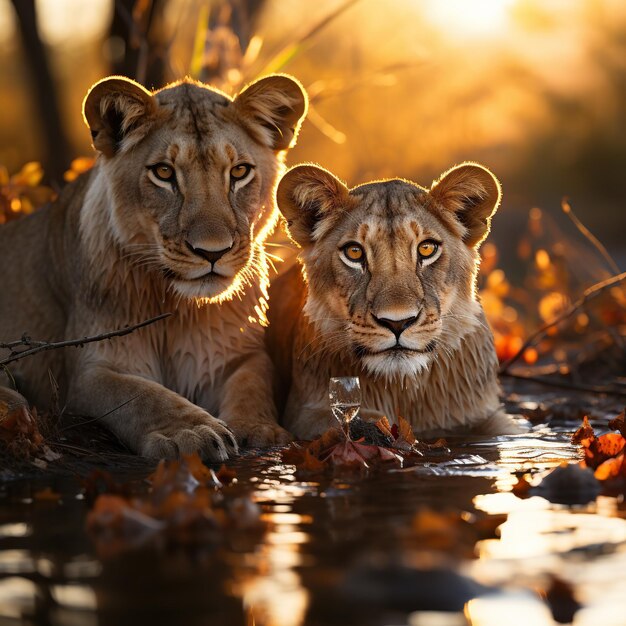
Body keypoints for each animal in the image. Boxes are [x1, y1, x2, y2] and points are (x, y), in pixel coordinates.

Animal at [0, 75, 306, 460]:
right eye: (164, 173)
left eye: (239, 172)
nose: (212, 252)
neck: (177, 309)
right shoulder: (92, 369)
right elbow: (142, 396)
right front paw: (190, 431)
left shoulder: (235, 357)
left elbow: (253, 384)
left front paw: (258, 429)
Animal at [266, 160, 516, 438]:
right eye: (354, 252)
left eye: (426, 248)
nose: (397, 322)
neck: (401, 390)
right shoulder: (302, 412)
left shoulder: (489, 416)